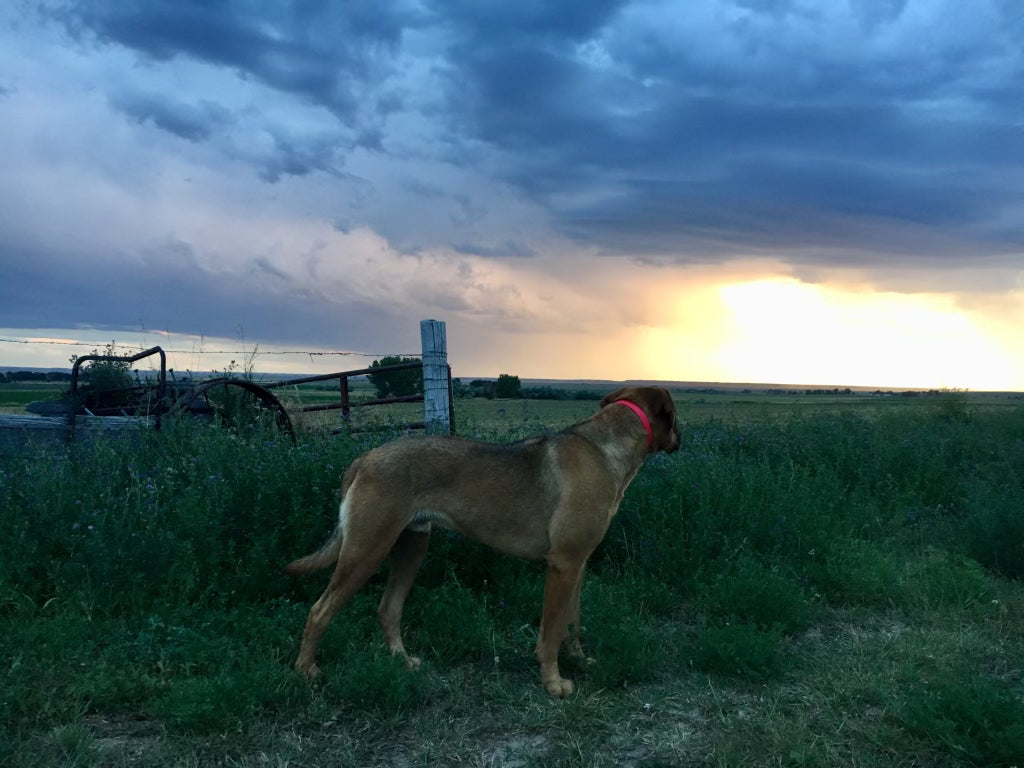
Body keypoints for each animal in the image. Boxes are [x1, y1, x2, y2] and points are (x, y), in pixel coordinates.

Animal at [282, 385, 679, 696]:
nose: (680, 439)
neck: (607, 448)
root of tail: (364, 458)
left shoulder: (577, 564)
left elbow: (573, 622)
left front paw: (580, 661)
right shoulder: (563, 564)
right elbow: (551, 632)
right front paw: (553, 683)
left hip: (412, 546)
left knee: (388, 608)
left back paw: (402, 660)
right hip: (366, 549)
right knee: (319, 611)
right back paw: (306, 670)